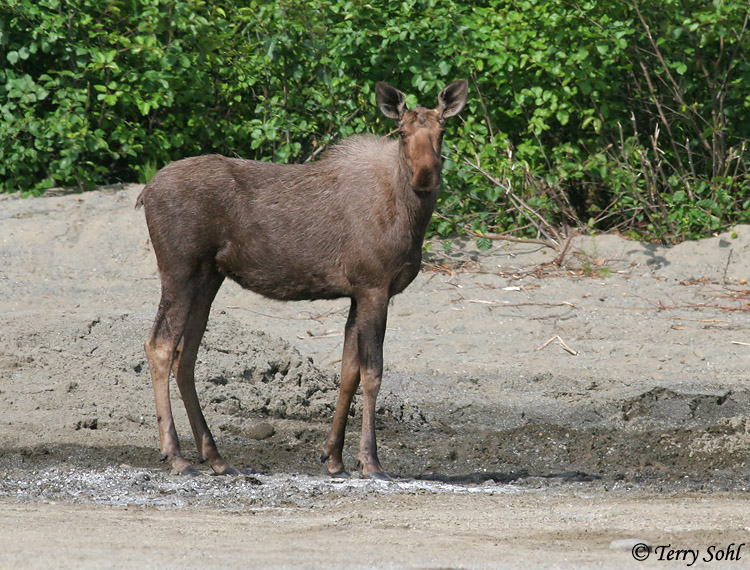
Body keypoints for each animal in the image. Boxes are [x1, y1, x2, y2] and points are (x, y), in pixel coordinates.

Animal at [136, 79, 468, 480]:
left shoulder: (356, 292)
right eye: (402, 133)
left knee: (186, 356)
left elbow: (348, 371)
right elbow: (373, 372)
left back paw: (214, 456)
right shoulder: (374, 286)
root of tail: (145, 193)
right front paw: (370, 461)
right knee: (159, 345)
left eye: (442, 132)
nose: (425, 175)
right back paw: (176, 455)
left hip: (209, 277)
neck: (411, 219)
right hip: (179, 268)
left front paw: (334, 457)